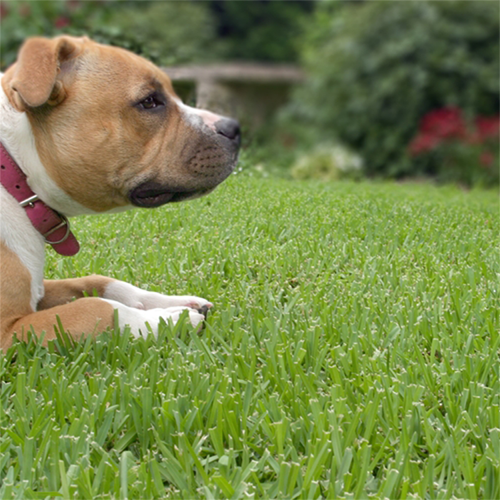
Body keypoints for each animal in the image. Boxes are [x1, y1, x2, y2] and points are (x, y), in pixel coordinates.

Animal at [0, 36, 240, 348]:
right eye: (149, 102)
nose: (235, 128)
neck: (16, 175)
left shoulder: (42, 288)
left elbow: (97, 282)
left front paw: (171, 303)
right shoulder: (10, 330)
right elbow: (96, 308)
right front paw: (170, 320)